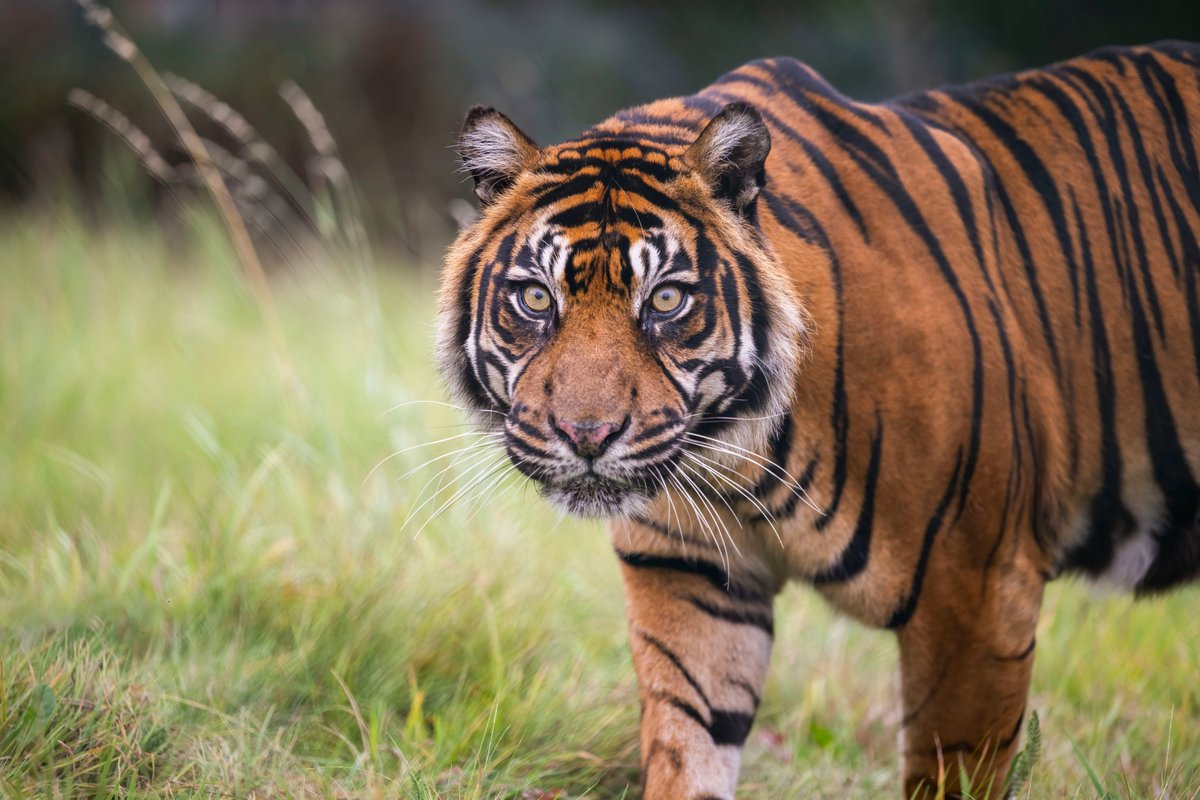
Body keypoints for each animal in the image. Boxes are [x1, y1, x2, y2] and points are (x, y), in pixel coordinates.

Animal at [435, 41, 1200, 798]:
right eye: (537, 298)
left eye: (667, 300)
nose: (587, 435)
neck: (737, 459)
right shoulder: (687, 574)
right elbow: (688, 750)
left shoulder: (979, 588)